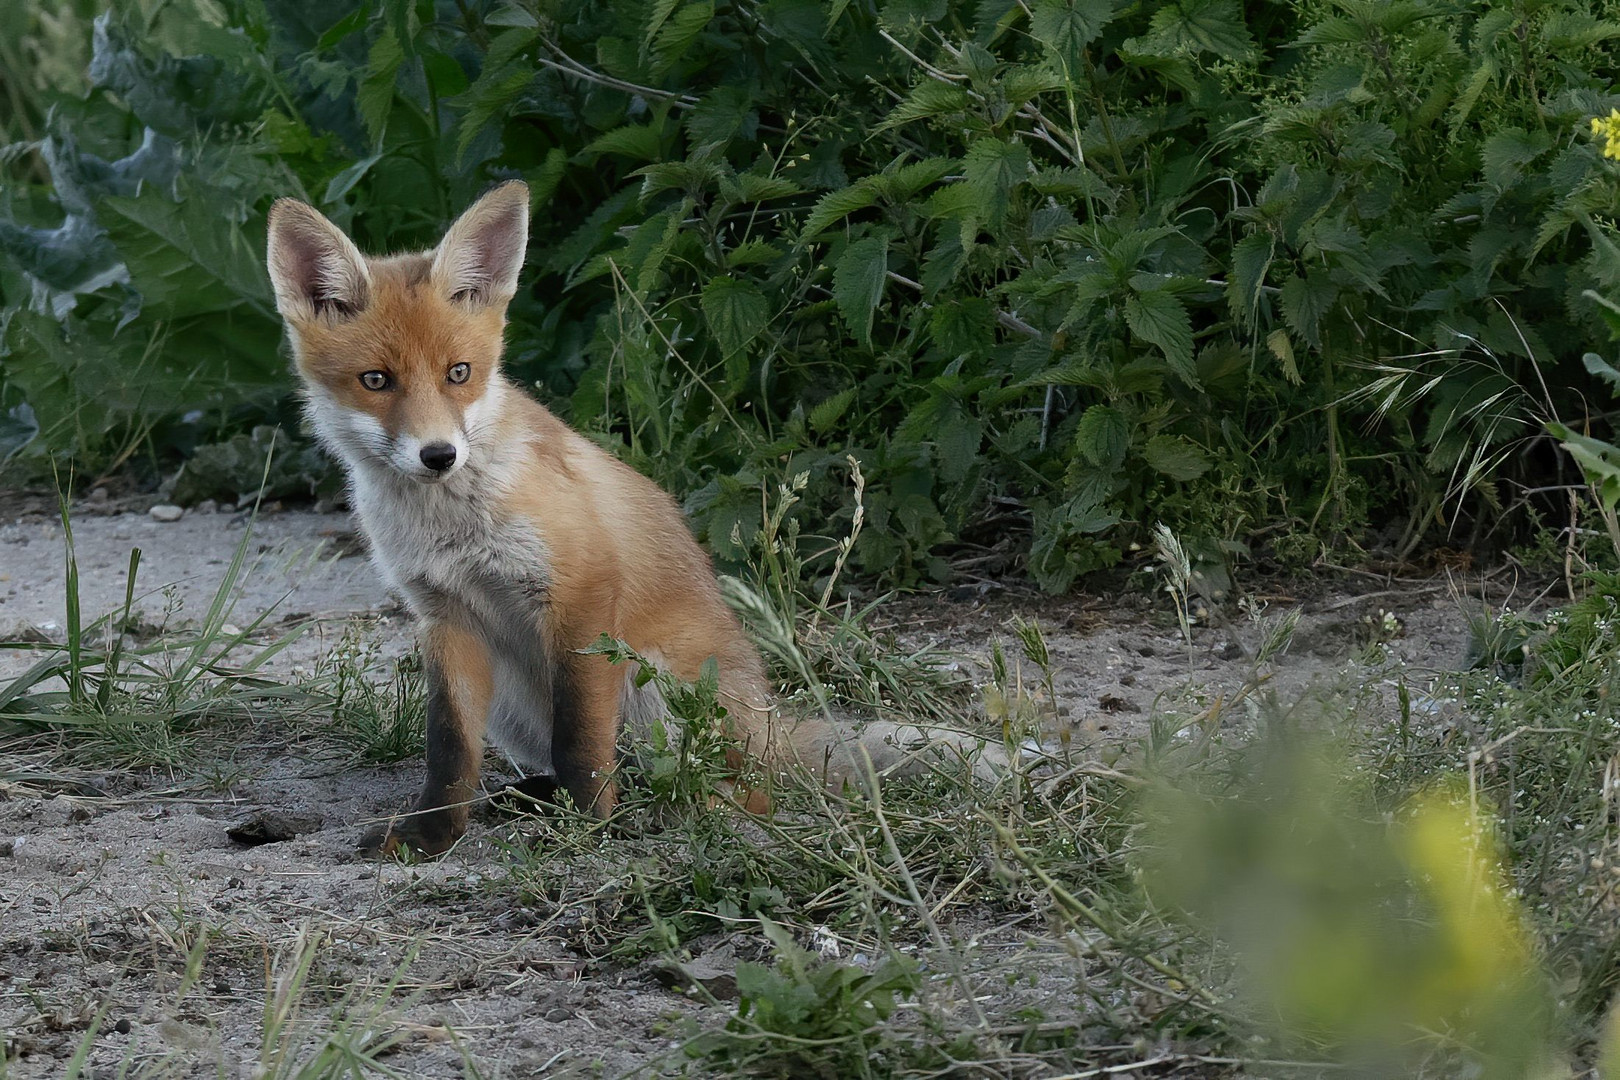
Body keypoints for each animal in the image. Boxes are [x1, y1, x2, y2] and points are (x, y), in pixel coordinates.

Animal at [265, 186, 984, 861]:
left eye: (459, 373)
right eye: (376, 380)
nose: (439, 455)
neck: (453, 528)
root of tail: (771, 726)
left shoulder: (582, 597)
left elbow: (582, 740)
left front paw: (587, 829)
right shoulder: (444, 617)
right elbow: (448, 753)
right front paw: (430, 838)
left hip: (656, 682)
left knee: (735, 788)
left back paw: (667, 806)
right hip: (513, 702)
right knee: (611, 766)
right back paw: (537, 798)